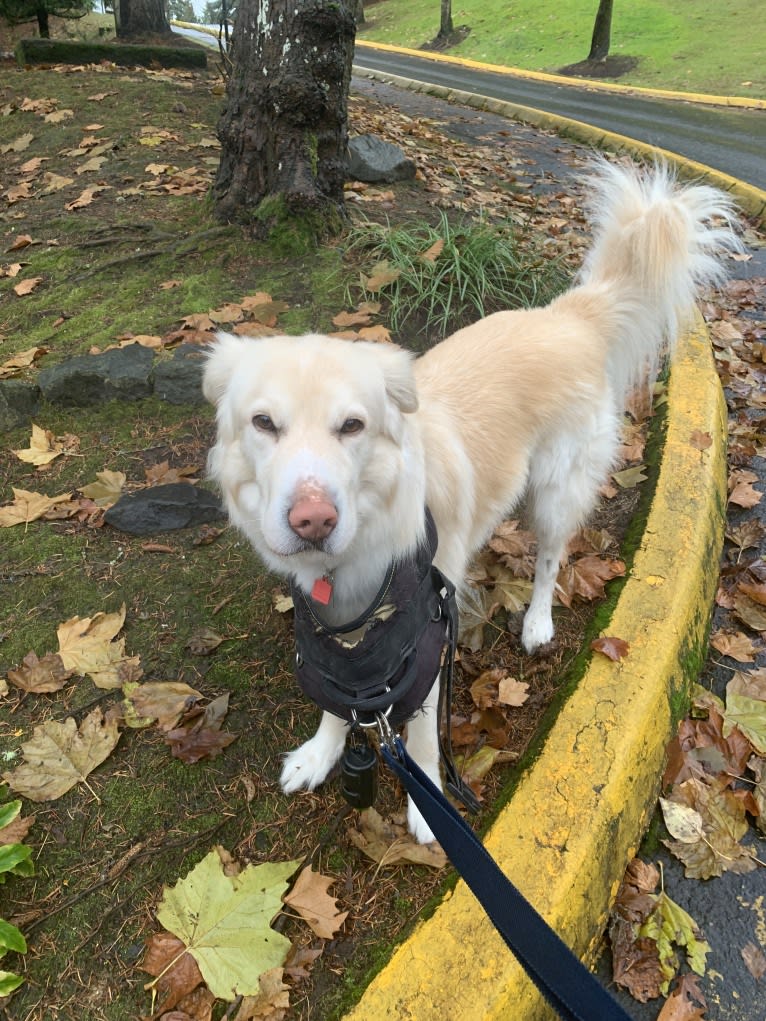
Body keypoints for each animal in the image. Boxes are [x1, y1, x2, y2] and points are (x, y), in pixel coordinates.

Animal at [201, 159, 739, 841]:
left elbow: (422, 738)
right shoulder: (339, 639)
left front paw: (427, 803)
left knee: (550, 559)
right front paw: (320, 754)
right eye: (264, 423)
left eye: (352, 426)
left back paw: (536, 621)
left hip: (555, 493)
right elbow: (339, 700)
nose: (313, 520)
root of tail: (570, 315)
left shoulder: (424, 652)